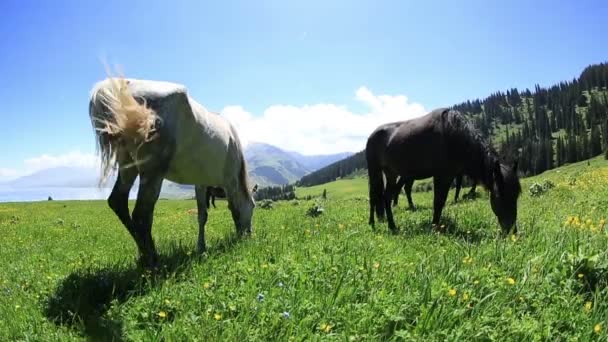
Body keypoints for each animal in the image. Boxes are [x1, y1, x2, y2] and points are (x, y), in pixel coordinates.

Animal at [88, 77, 254, 268]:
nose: (249, 235)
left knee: (118, 202)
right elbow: (234, 208)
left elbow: (202, 215)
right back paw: (153, 260)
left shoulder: (200, 183)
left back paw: (143, 255)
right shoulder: (230, 180)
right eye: (254, 207)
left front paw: (201, 247)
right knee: (141, 215)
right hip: (153, 171)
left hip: (128, 165)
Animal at [368, 108, 520, 234]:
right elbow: (437, 202)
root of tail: (372, 135)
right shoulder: (440, 176)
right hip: (375, 171)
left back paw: (392, 226)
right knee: (374, 196)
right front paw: (434, 227)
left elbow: (441, 202)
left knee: (386, 197)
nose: (512, 230)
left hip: (391, 173)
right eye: (499, 196)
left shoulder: (449, 176)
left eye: (516, 195)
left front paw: (436, 225)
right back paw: (372, 224)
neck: (452, 136)